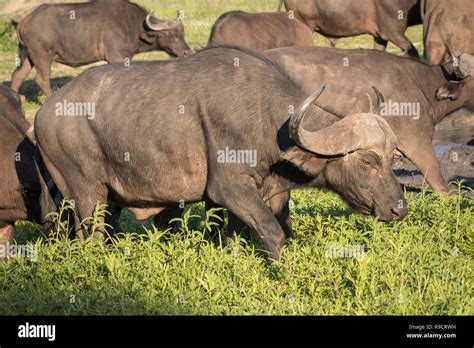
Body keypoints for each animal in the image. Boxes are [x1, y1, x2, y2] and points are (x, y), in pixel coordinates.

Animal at [11, 1, 193, 98]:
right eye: (172, 36)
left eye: (182, 34)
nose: (187, 53)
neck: (133, 26)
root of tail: (24, 21)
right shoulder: (117, 57)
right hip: (42, 57)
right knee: (42, 80)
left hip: (29, 57)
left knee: (17, 76)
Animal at [36, 47, 408, 260]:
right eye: (367, 161)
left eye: (393, 158)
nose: (399, 209)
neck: (265, 119)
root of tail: (46, 112)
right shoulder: (229, 189)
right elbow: (273, 233)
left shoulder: (262, 192)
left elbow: (242, 235)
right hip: (87, 193)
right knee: (91, 237)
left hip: (108, 197)